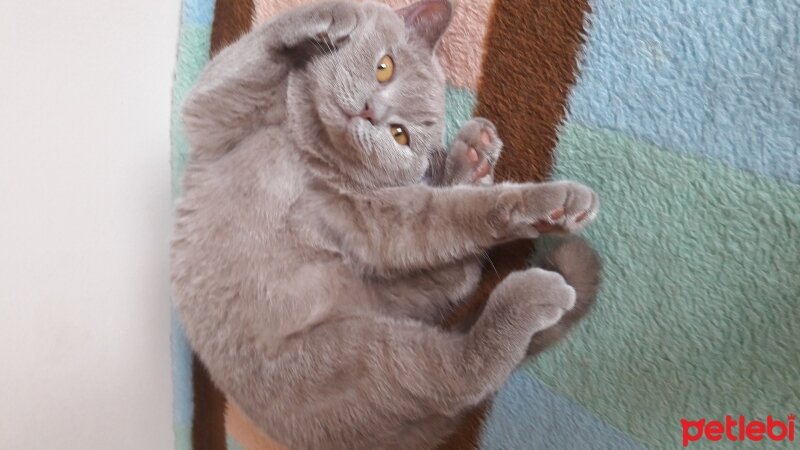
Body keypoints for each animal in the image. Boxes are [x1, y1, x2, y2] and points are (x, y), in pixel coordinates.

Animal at [173, 1, 600, 448]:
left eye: (399, 135)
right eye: (384, 68)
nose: (370, 112)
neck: (304, 153)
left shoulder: (364, 212)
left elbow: (460, 212)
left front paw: (551, 204)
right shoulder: (214, 115)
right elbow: (250, 57)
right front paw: (332, 17)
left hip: (361, 358)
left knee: (459, 372)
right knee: (457, 282)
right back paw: (474, 158)